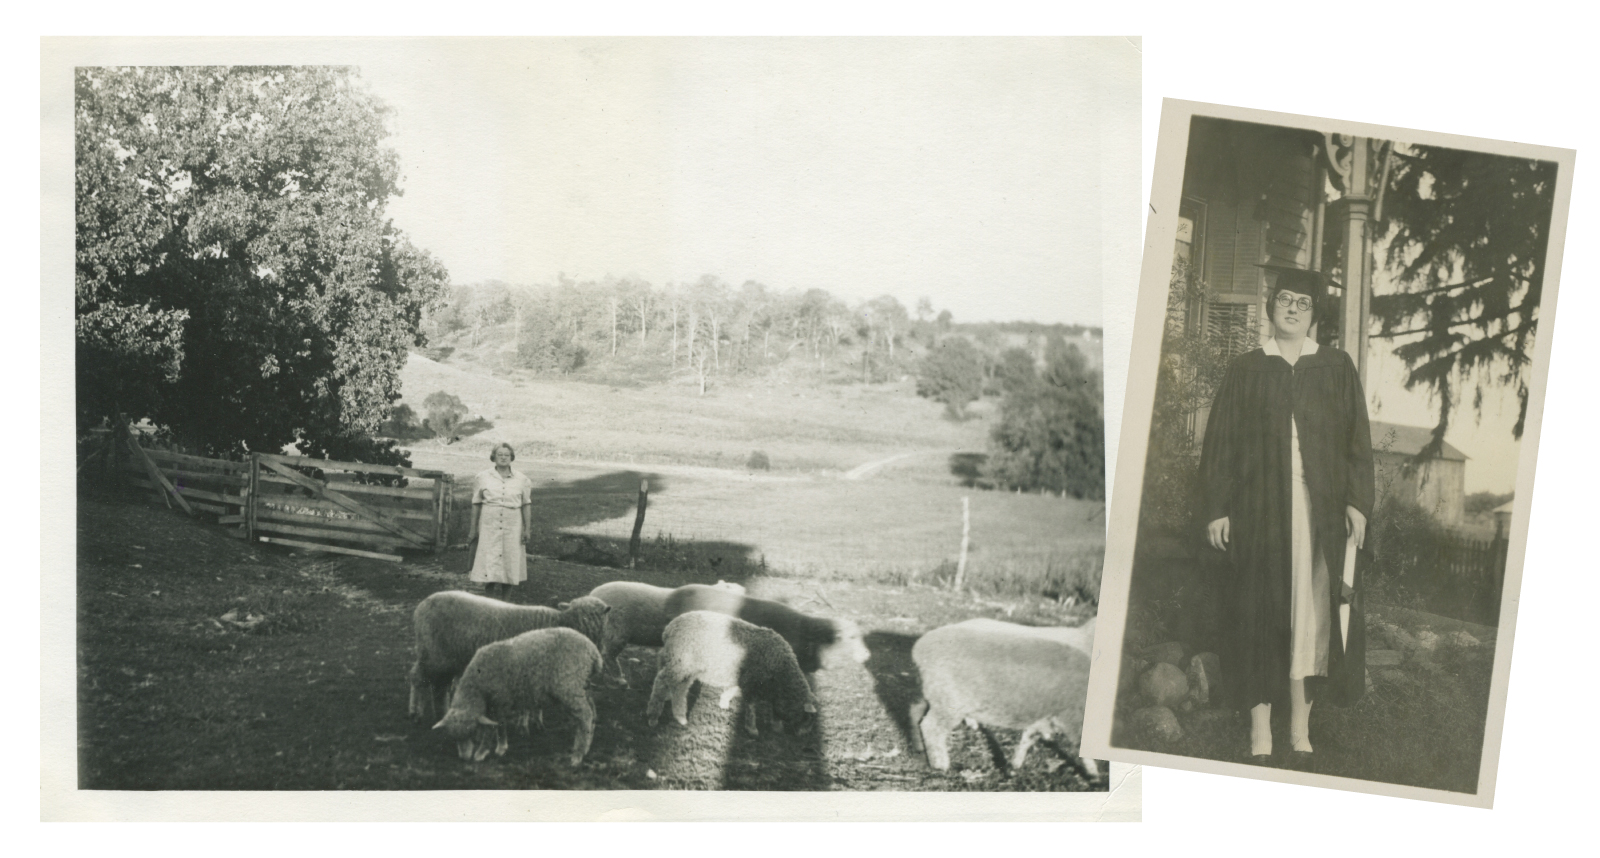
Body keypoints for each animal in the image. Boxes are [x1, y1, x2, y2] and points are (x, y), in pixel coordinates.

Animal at [406, 589, 611, 723]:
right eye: (585, 616)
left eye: (597, 616)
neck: (563, 622)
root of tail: (422, 605)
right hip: (432, 653)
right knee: (418, 678)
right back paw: (415, 711)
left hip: (445, 657)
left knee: (435, 683)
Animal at [432, 624, 601, 765]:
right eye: (454, 738)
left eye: (471, 734)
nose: (464, 758)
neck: (478, 685)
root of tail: (593, 651)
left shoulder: (500, 700)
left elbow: (497, 727)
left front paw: (488, 750)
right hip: (583, 685)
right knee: (592, 711)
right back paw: (587, 745)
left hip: (570, 686)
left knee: (585, 715)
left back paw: (578, 755)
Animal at [646, 611, 819, 736]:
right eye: (808, 717)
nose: (804, 734)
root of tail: (670, 628)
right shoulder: (751, 683)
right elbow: (750, 707)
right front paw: (752, 729)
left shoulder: (744, 680)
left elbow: (732, 691)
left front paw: (724, 702)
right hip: (682, 662)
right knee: (662, 680)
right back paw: (655, 715)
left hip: (680, 662)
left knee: (674, 682)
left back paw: (676, 710)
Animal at [915, 614, 1100, 781]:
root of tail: (920, 648)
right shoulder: (1071, 715)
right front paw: (1094, 775)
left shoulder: (1044, 713)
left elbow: (1029, 736)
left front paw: (1014, 766)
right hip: (949, 701)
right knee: (930, 727)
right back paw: (941, 765)